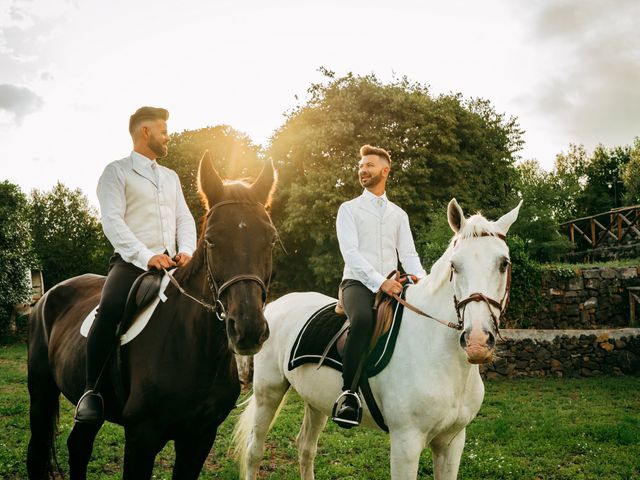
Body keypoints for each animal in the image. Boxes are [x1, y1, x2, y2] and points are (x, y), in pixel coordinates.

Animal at [27, 152, 278, 478]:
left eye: (271, 239)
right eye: (211, 240)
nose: (247, 329)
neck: (193, 348)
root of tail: (45, 297)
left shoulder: (199, 438)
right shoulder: (141, 438)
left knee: (78, 446)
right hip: (41, 392)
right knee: (37, 454)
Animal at [234, 197, 520, 478]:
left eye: (503, 263)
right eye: (454, 266)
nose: (477, 342)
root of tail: (275, 305)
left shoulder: (452, 441)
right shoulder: (406, 442)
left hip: (314, 400)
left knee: (305, 447)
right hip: (268, 392)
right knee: (254, 451)